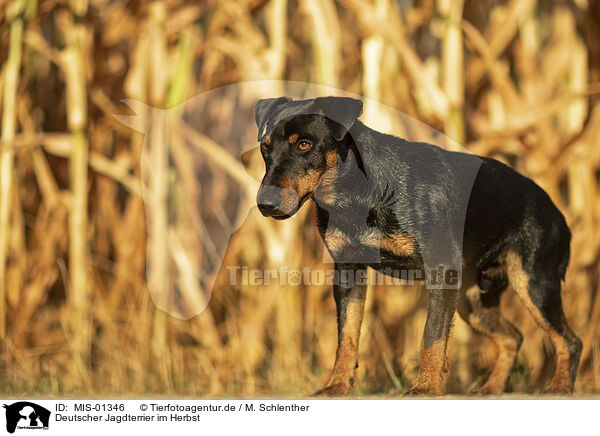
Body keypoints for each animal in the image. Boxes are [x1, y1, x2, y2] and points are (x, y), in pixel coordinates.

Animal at [252, 95, 580, 396]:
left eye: (304, 145)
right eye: (265, 148)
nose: (264, 204)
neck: (358, 192)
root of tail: (559, 213)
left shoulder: (440, 273)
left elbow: (431, 336)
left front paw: (426, 389)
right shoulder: (348, 271)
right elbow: (347, 336)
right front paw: (336, 386)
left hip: (534, 284)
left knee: (570, 341)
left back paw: (559, 388)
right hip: (473, 301)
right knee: (514, 337)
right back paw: (492, 389)